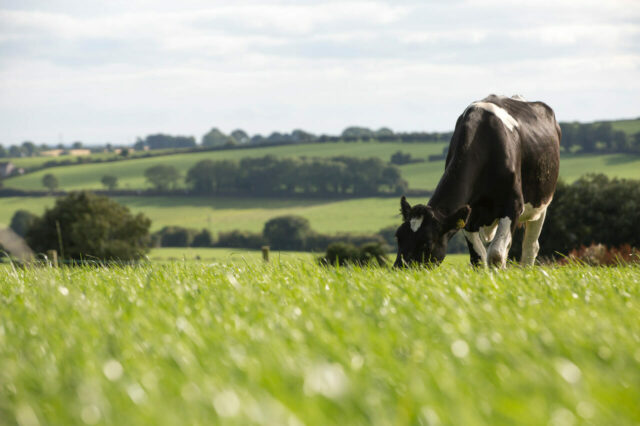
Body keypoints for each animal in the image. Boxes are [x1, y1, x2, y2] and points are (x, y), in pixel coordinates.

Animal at [396, 95, 560, 268]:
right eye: (398, 236)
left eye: (427, 243)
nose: (400, 270)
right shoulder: (469, 213)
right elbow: (478, 258)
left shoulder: (513, 205)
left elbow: (495, 255)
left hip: (541, 203)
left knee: (530, 246)